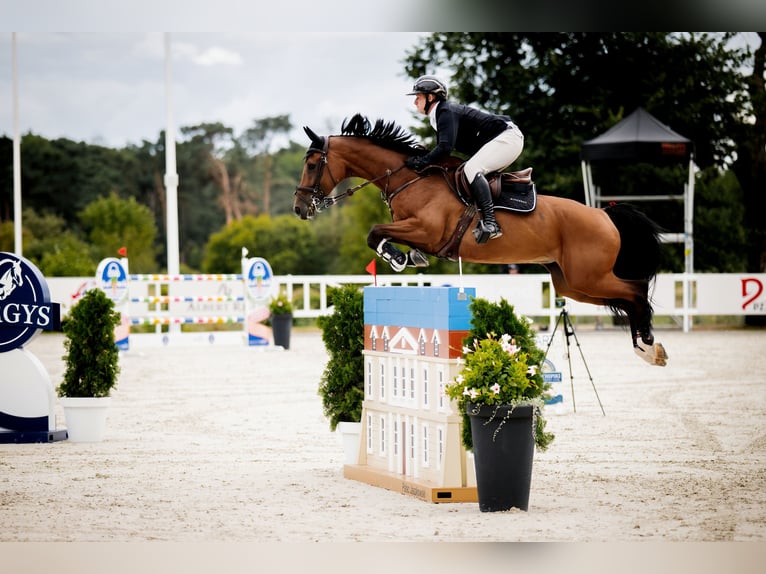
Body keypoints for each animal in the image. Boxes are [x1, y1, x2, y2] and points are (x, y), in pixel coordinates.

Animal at [294, 114, 668, 366]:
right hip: (572, 284)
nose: (299, 208)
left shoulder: (425, 230)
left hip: (588, 276)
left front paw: (397, 258)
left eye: (312, 164)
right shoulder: (414, 230)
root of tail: (604, 214)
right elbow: (382, 235)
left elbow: (375, 232)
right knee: (627, 297)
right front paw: (408, 258)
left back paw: (649, 345)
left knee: (635, 291)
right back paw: (646, 347)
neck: (410, 179)